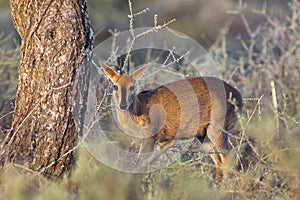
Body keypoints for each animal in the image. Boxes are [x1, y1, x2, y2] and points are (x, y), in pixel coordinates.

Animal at [99, 61, 243, 184]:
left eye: (132, 86)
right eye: (114, 86)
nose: (123, 105)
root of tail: (239, 96)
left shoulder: (151, 137)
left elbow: (140, 163)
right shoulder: (140, 140)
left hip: (217, 128)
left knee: (228, 159)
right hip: (203, 135)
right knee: (218, 161)